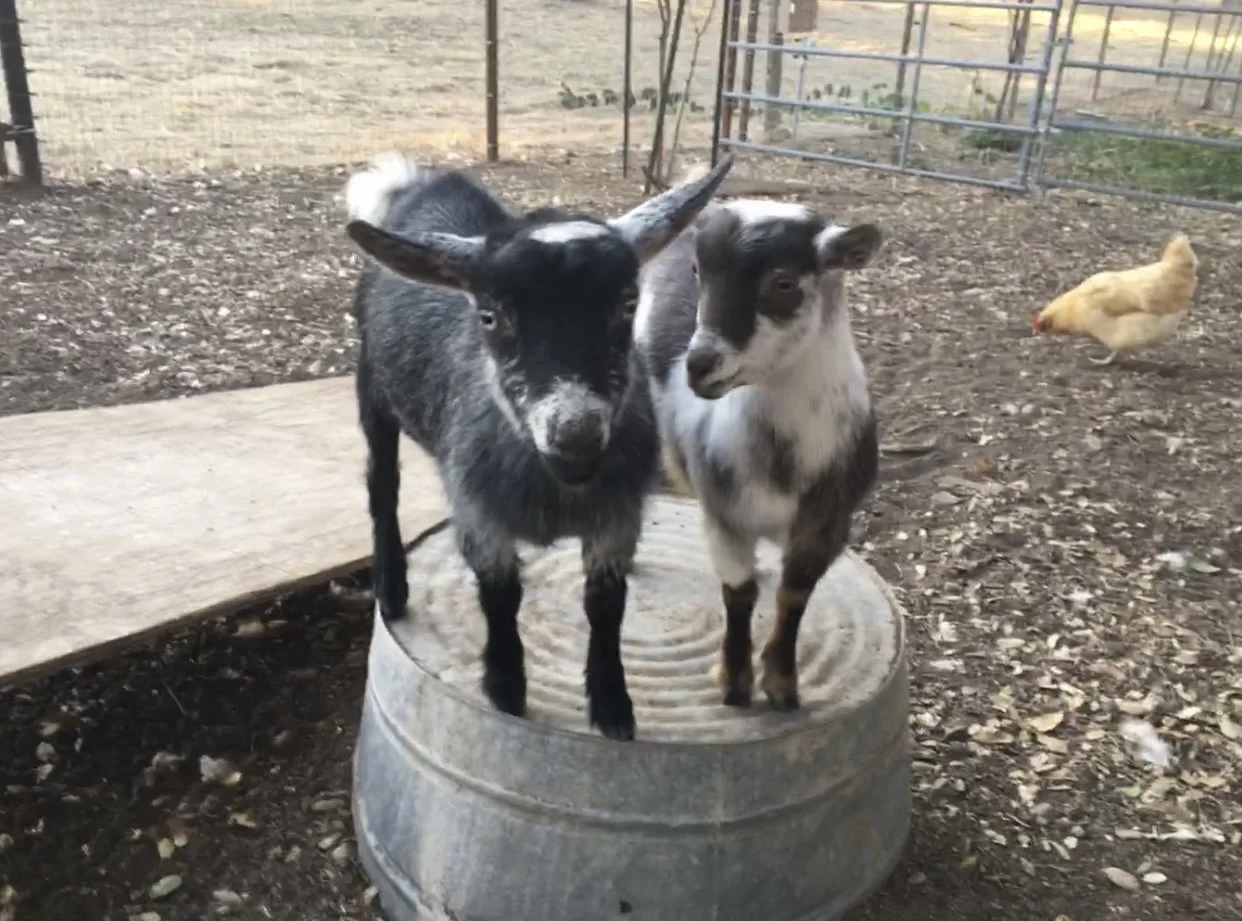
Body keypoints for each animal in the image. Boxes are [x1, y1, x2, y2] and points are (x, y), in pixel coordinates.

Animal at [344, 152, 734, 740]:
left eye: (628, 304)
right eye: (489, 316)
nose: (575, 435)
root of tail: (425, 183)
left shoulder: (617, 515)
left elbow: (606, 604)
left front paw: (612, 705)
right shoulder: (478, 509)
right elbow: (500, 594)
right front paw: (506, 688)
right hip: (372, 386)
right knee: (380, 483)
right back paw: (391, 587)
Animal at [634, 195, 883, 711]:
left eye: (783, 282)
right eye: (699, 271)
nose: (699, 366)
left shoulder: (827, 526)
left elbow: (794, 596)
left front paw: (783, 685)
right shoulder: (724, 518)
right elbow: (739, 593)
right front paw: (734, 682)